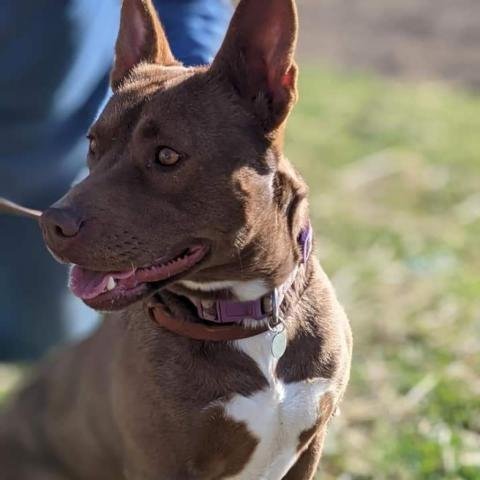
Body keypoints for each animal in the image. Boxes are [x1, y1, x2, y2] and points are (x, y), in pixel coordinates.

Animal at [0, 0, 352, 478]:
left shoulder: (310, 446)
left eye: (167, 155)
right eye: (93, 143)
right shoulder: (160, 463)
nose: (52, 223)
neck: (245, 316)